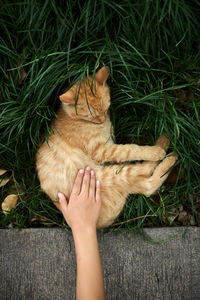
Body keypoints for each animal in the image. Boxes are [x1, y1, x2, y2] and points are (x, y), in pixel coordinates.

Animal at [35, 66, 177, 227]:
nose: (103, 119)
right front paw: (153, 152)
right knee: (147, 181)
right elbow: (131, 149)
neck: (75, 119)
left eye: (106, 108)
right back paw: (167, 152)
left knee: (146, 181)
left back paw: (165, 142)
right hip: (112, 175)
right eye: (93, 116)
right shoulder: (103, 150)